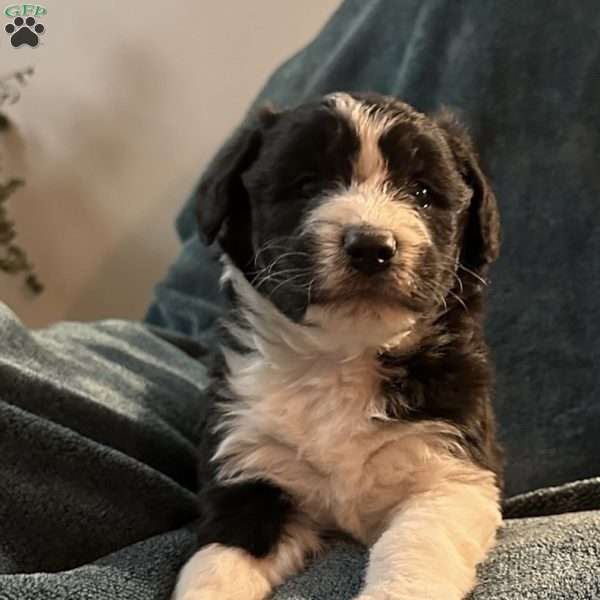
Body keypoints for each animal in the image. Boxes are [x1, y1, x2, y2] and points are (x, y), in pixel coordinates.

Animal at [173, 90, 502, 600]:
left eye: (422, 192)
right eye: (307, 185)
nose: (371, 246)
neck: (340, 358)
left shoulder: (452, 473)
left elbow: (415, 548)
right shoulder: (249, 472)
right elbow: (216, 566)